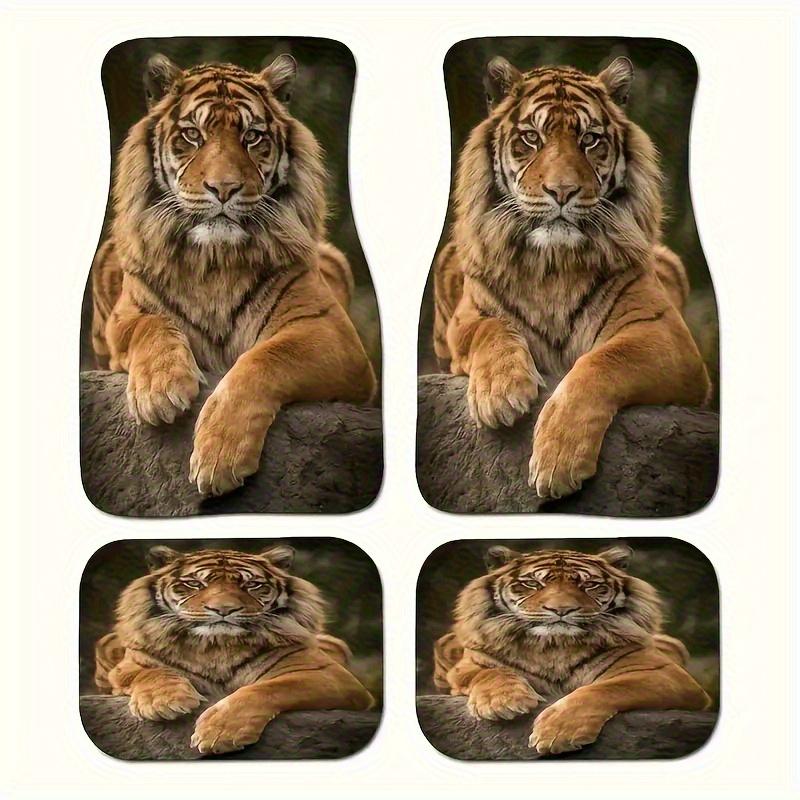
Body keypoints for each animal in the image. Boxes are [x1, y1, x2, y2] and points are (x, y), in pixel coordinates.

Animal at [90, 53, 376, 496]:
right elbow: (151, 326)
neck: (214, 262)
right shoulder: (125, 316)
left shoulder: (332, 333)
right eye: (192, 135)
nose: (223, 188)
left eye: (252, 137)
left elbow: (265, 358)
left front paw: (219, 457)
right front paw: (160, 390)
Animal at [93, 544, 374, 755]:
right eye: (195, 584)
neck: (216, 646)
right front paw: (163, 702)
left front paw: (220, 733)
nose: (224, 609)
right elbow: (151, 673)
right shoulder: (130, 665)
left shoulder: (331, 674)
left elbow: (270, 688)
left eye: (252, 585)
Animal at [433, 55, 710, 500]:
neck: (554, 266)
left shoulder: (668, 337)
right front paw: (500, 394)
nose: (561, 191)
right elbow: (491, 330)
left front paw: (557, 462)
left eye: (590, 140)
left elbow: (603, 361)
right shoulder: (466, 319)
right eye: (531, 138)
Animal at [433, 545, 710, 755]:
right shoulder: (470, 664)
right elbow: (490, 673)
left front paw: (558, 733)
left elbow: (606, 688)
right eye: (532, 583)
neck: (554, 646)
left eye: (589, 585)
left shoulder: (665, 673)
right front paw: (502, 702)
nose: (561, 609)